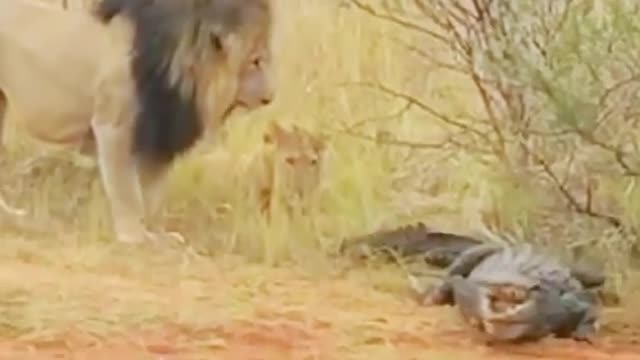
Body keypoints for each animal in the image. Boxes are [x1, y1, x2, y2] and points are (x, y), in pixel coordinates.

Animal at [2, 0, 278, 245]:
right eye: (256, 61)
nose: (270, 97)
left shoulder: (160, 134)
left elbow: (153, 193)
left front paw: (157, 235)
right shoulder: (114, 127)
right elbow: (127, 192)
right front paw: (133, 236)